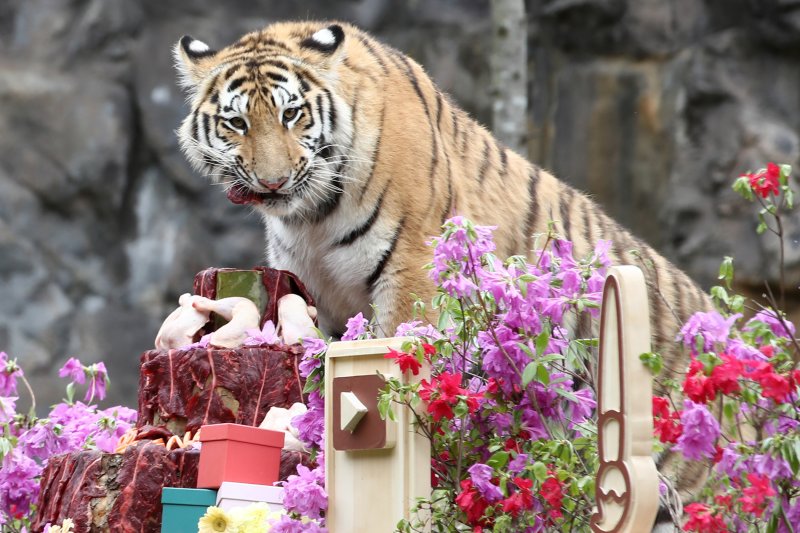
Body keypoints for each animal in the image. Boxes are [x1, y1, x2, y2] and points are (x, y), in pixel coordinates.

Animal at [175, 18, 712, 520]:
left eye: (291, 114)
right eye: (237, 123)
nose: (274, 181)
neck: (312, 217)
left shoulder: (411, 268)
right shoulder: (316, 295)